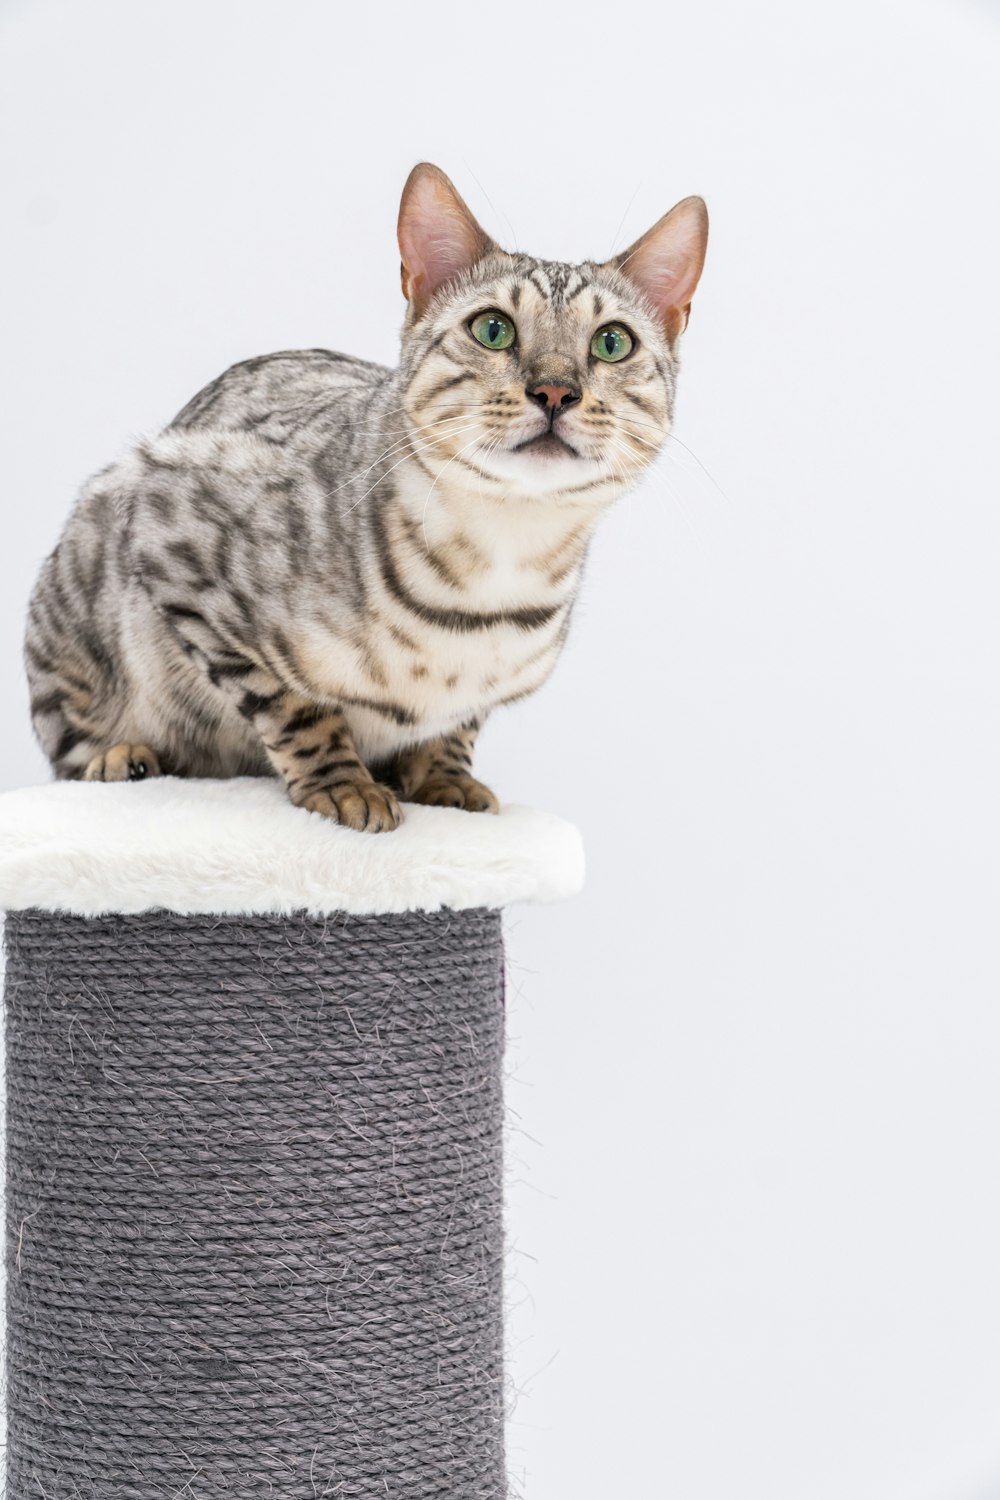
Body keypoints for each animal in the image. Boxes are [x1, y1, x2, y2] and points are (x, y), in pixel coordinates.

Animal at [25, 168, 710, 840]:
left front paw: (446, 778)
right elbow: (296, 707)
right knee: (67, 745)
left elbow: (457, 725)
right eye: (493, 329)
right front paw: (343, 785)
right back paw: (121, 758)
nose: (555, 389)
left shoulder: (478, 697)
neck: (496, 572)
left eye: (613, 342)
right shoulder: (174, 534)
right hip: (80, 574)